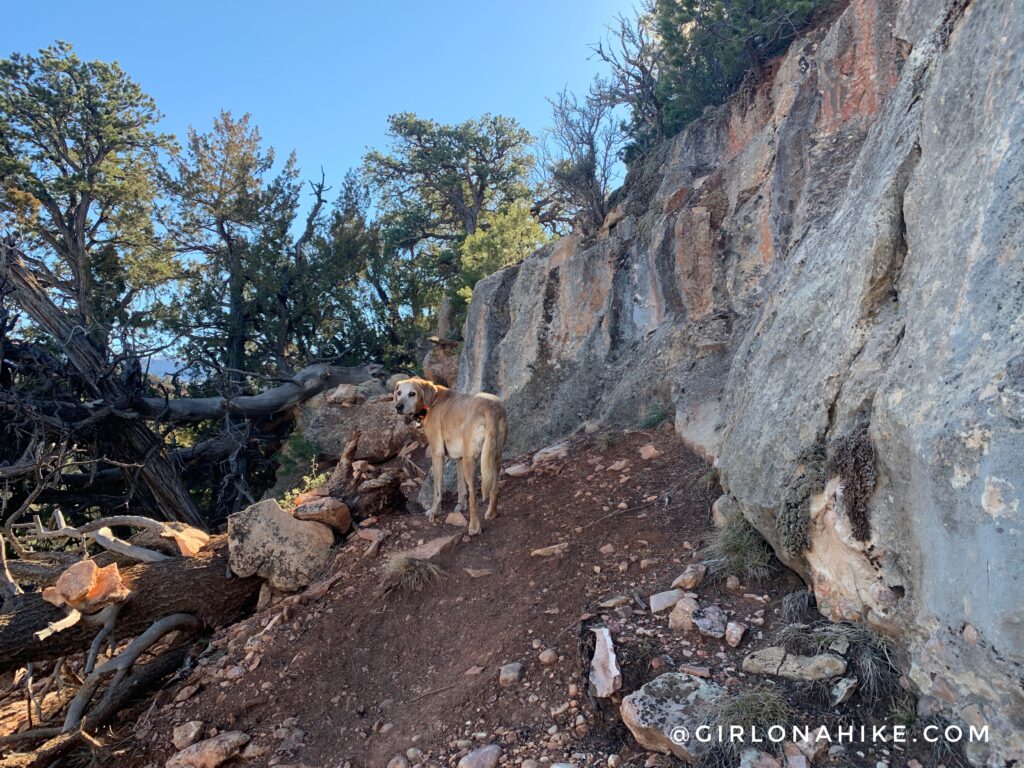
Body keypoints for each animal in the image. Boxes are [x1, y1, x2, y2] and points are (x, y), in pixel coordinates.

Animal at [395, 376, 507, 536]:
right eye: (399, 392)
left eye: (412, 393)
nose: (398, 407)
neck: (432, 401)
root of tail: (490, 407)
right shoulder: (459, 458)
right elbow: (461, 487)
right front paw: (461, 506)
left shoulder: (437, 454)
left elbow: (437, 489)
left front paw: (434, 511)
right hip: (495, 456)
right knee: (494, 488)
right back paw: (491, 513)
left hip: (470, 461)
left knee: (474, 496)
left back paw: (474, 527)